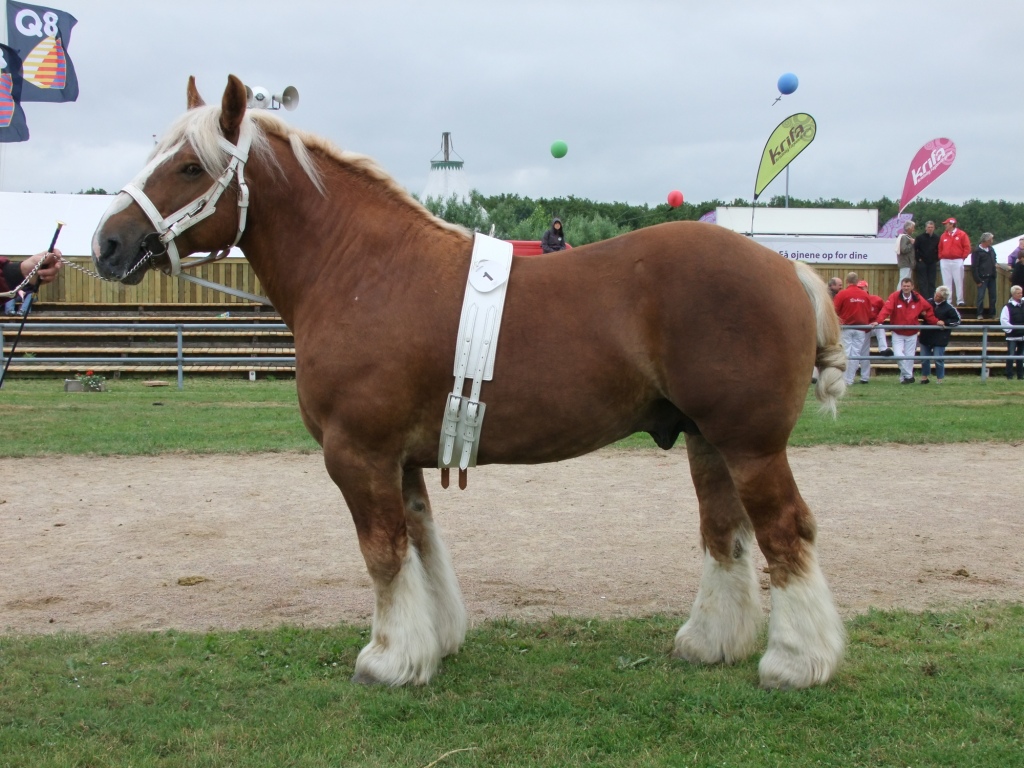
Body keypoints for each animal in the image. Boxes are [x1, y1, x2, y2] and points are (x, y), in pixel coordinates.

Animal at [94, 76, 847, 692]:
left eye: (189, 166)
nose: (107, 243)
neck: (362, 272)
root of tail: (788, 268)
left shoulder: (357, 455)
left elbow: (384, 554)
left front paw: (388, 660)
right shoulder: (400, 460)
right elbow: (423, 546)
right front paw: (436, 642)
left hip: (749, 445)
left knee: (785, 531)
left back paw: (795, 662)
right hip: (705, 440)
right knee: (726, 534)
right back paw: (709, 644)